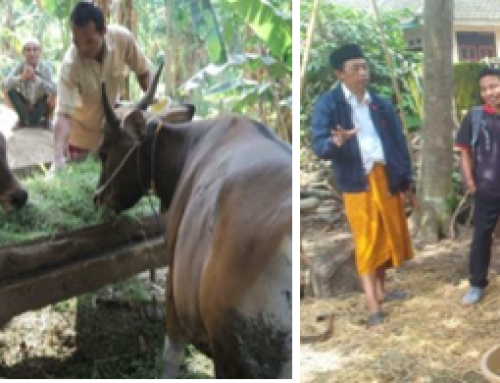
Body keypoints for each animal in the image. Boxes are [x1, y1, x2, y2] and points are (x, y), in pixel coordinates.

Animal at [93, 64, 292, 380]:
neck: (189, 146)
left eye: (103, 152)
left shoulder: (174, 291)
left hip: (231, 359)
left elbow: (170, 359)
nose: (97, 198)